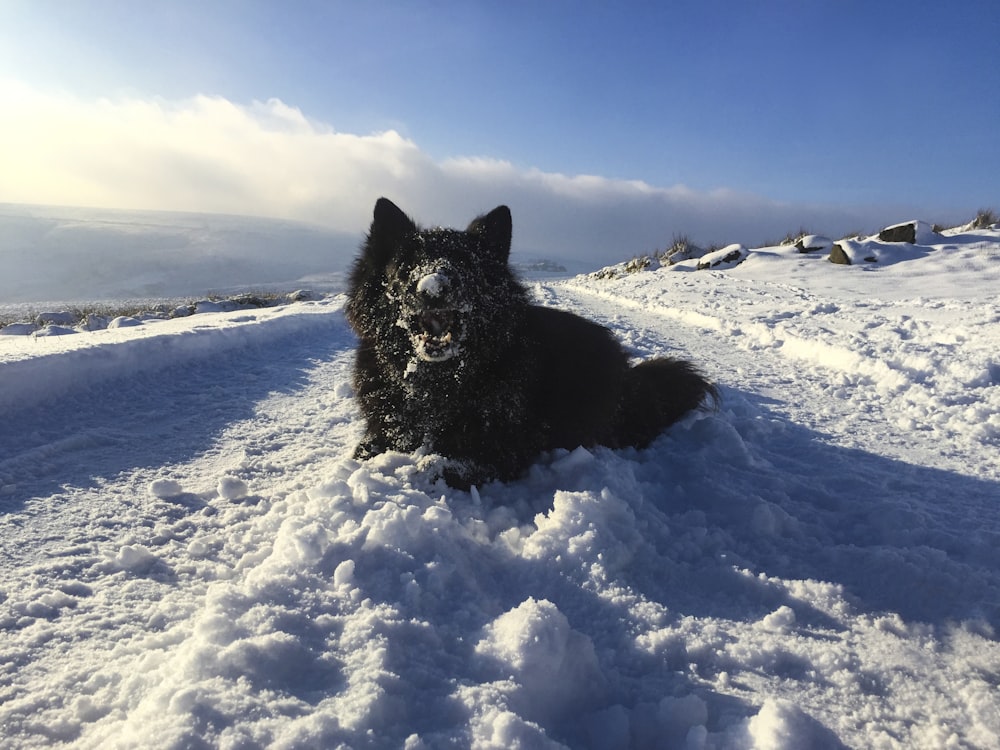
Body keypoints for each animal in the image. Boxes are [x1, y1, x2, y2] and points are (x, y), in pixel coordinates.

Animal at [348, 197, 716, 488]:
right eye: (406, 266)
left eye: (466, 264)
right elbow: (370, 447)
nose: (434, 288)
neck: (436, 381)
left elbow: (444, 467)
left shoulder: (503, 447)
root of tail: (631, 376)